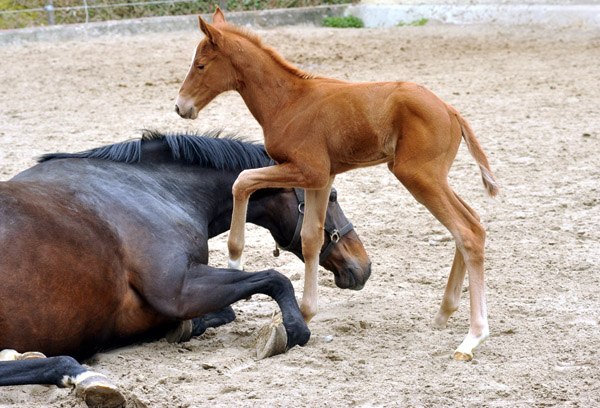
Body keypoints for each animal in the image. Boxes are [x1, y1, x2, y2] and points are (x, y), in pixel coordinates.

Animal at [0, 131, 370, 408]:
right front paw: (287, 331)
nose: (363, 266)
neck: (154, 188)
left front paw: (184, 328)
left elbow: (226, 310)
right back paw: (83, 376)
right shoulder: (177, 290)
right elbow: (274, 280)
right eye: (332, 196)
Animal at [176, 7, 500, 360]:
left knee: (467, 231)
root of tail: (452, 111)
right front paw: (305, 313)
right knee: (473, 221)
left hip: (418, 176)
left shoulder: (310, 170)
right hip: (433, 177)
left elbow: (242, 181)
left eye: (200, 65)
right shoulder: (321, 177)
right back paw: (445, 311)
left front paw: (235, 259)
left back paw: (473, 337)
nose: (181, 106)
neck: (288, 101)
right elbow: (310, 238)